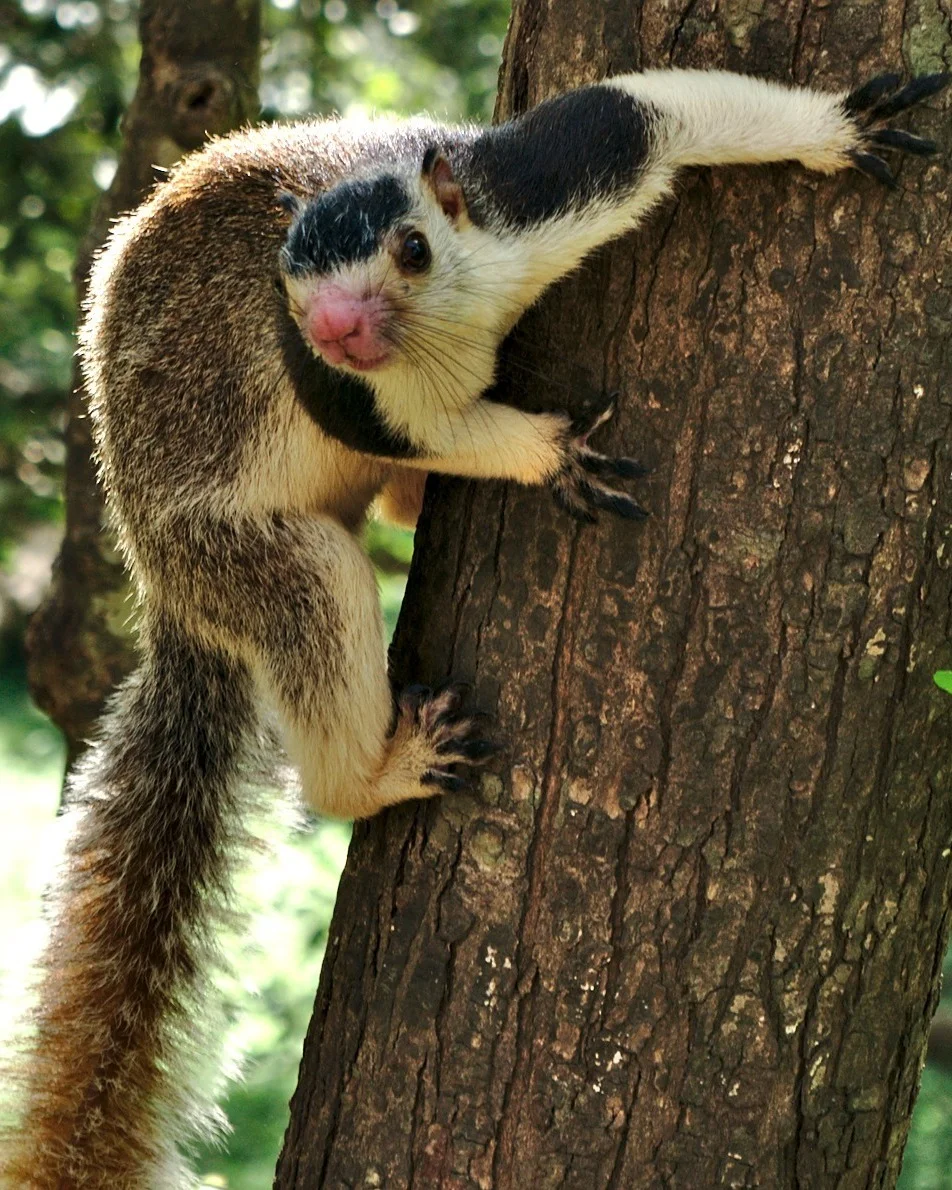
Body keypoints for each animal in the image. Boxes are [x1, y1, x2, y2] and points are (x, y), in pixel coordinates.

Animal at [2, 68, 947, 1189]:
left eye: (412, 249)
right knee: (317, 603)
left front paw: (835, 129)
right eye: (289, 278)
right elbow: (423, 428)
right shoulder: (341, 389)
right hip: (247, 560)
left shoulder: (538, 185)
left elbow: (653, 112)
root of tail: (167, 593)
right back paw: (383, 769)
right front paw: (544, 455)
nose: (336, 328)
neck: (451, 325)